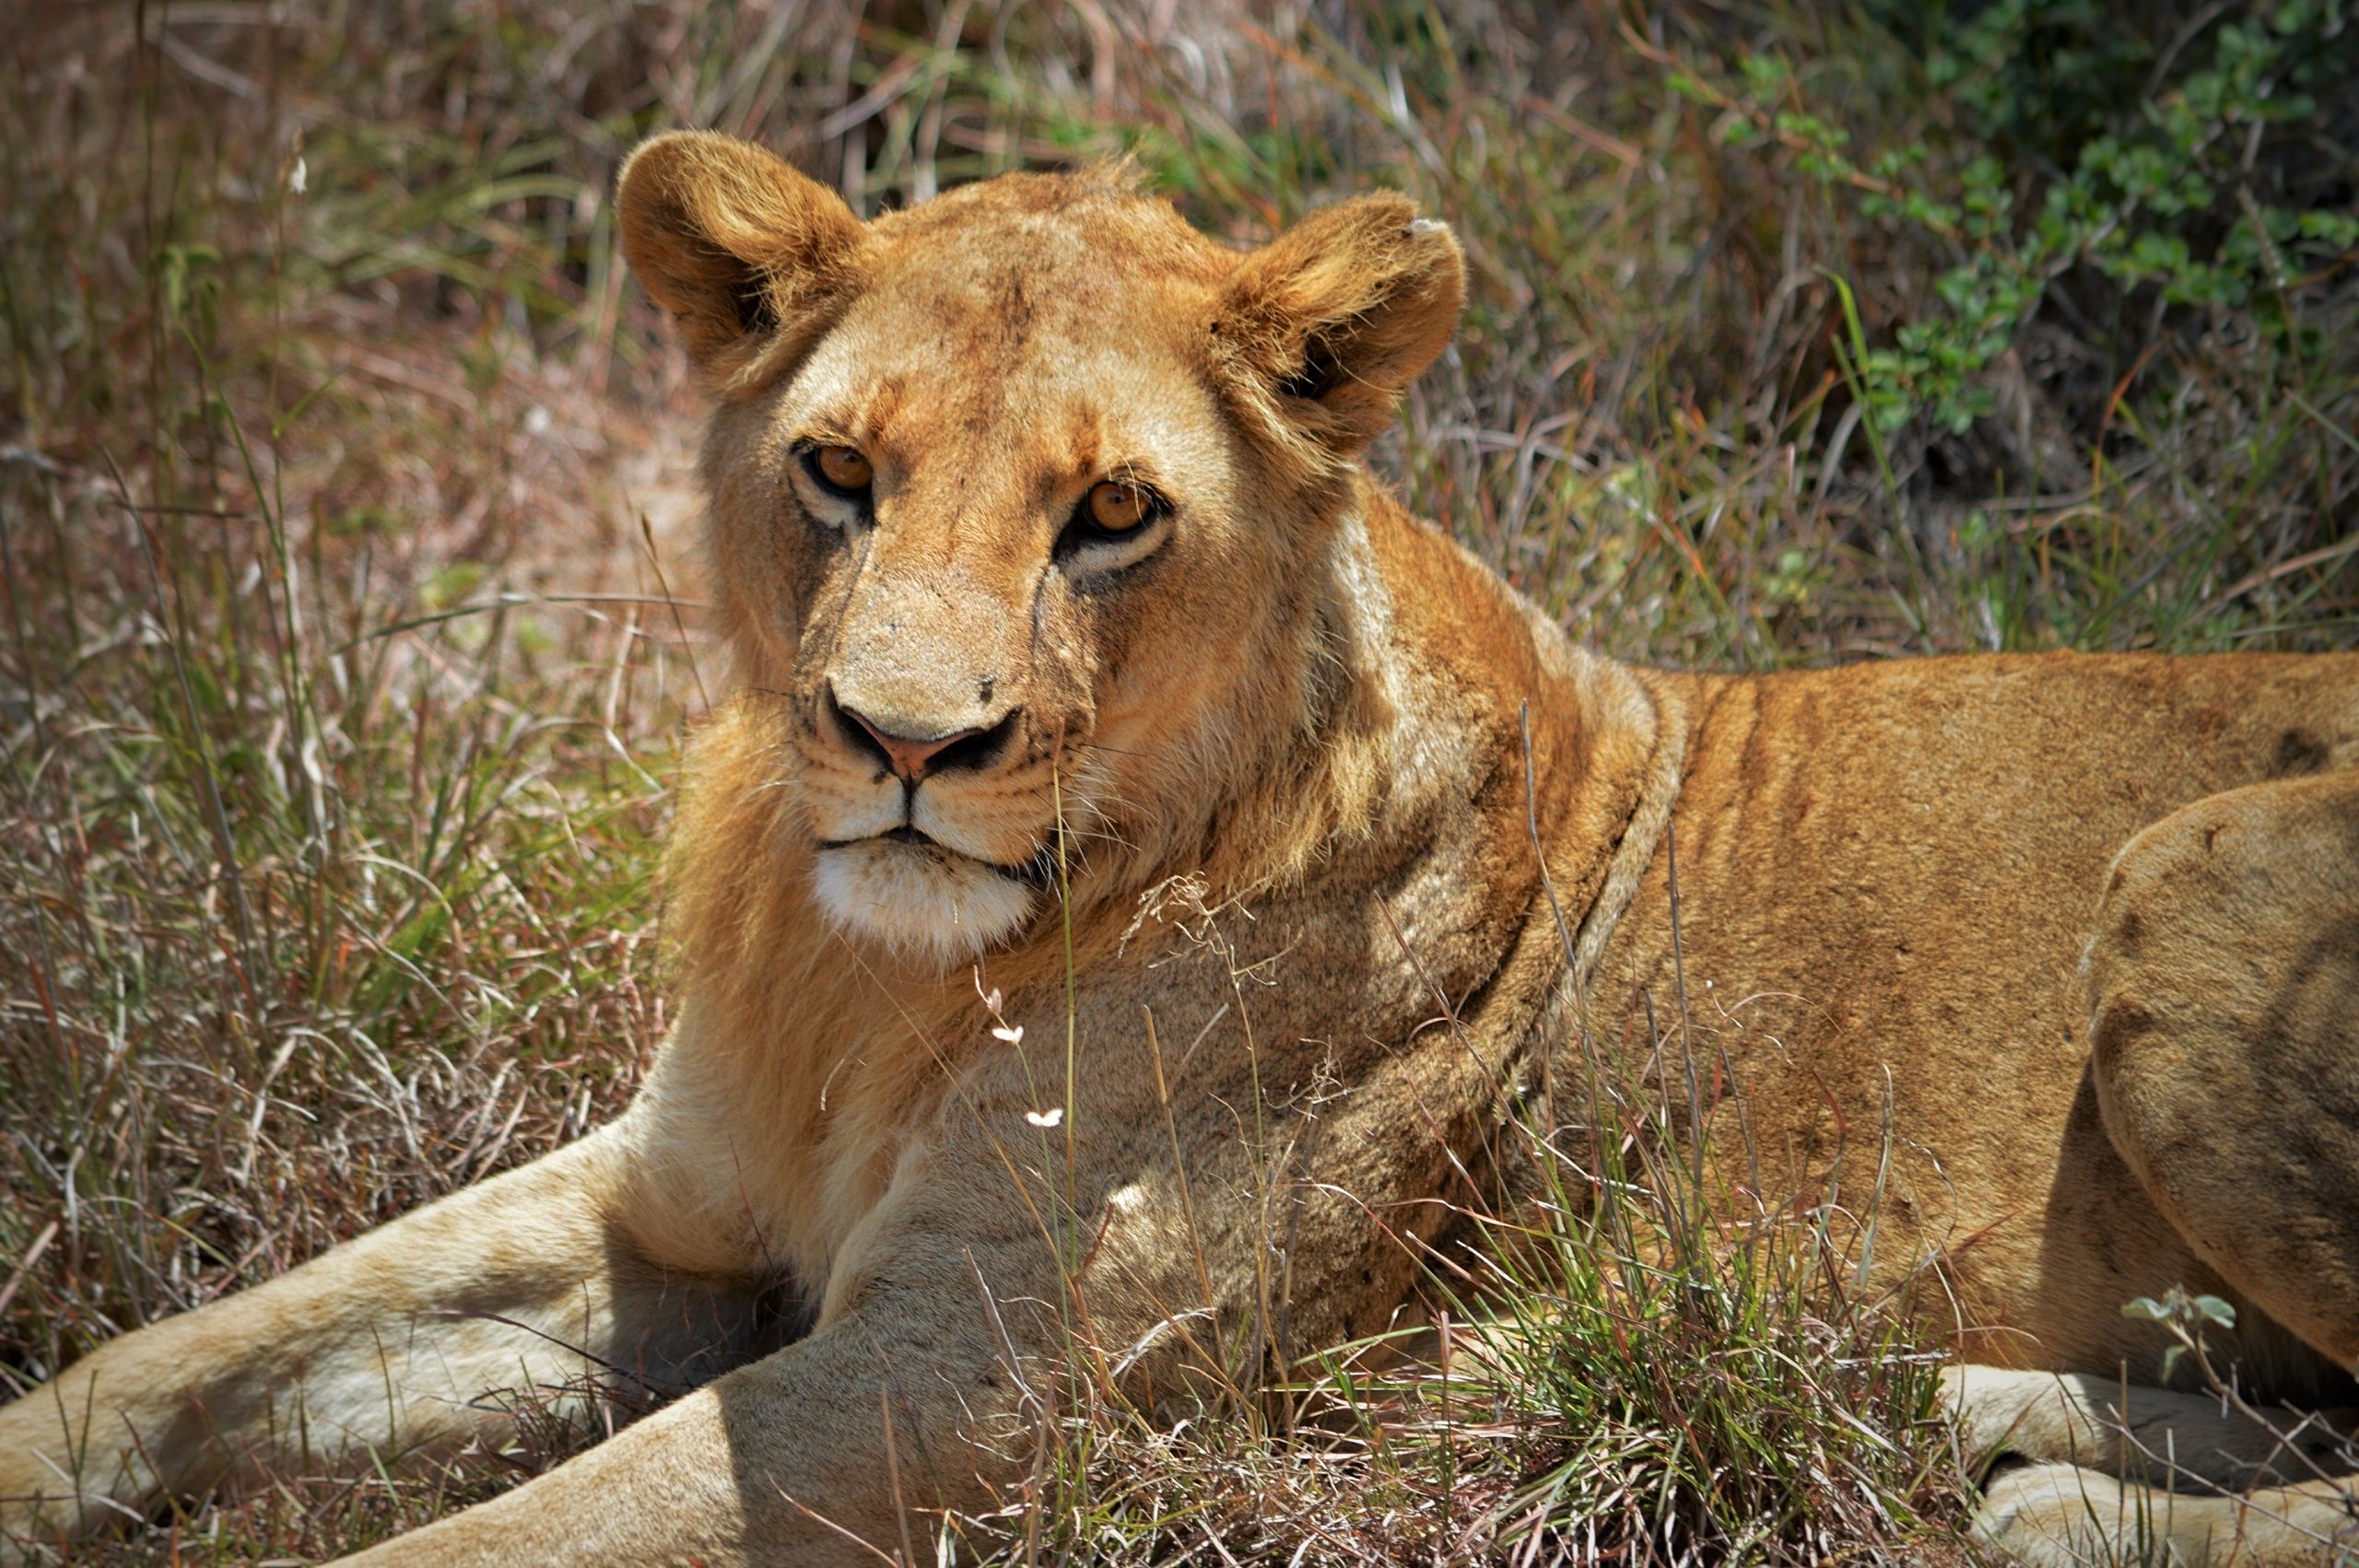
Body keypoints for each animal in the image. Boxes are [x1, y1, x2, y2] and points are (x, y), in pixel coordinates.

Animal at [4, 130, 2356, 1566]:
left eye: (1112, 512)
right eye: (837, 471)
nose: (903, 742)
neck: (865, 975)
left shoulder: (981, 1376)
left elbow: (512, 1525)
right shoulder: (677, 1202)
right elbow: (187, 1354)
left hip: (2191, 877)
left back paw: (2007, 1488)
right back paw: (1970, 1417)